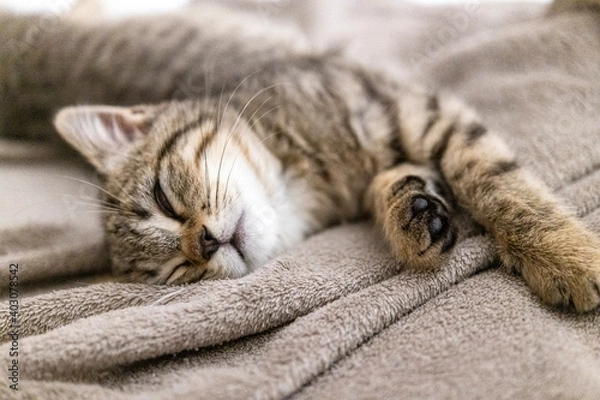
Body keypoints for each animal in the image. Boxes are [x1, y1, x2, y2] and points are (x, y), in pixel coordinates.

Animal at [3, 2, 600, 312]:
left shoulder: (415, 109)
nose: (204, 243)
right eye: (177, 271)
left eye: (164, 199)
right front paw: (413, 214)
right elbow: (397, 184)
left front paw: (567, 257)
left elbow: (500, 186)